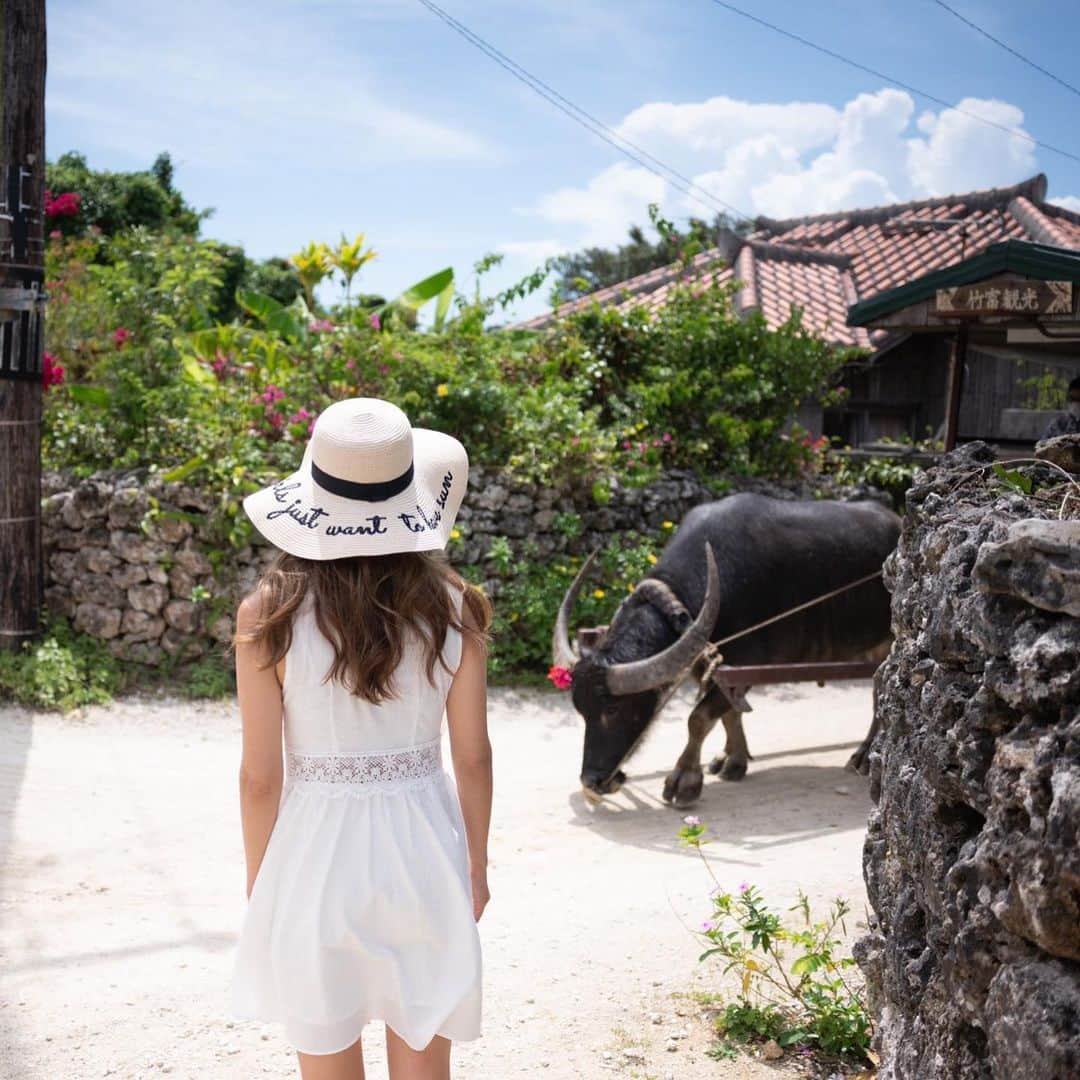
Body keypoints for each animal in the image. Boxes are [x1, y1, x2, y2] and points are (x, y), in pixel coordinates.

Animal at [552, 494, 898, 807]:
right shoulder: (712, 664)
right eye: (580, 709)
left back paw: (864, 756)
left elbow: (699, 718)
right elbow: (730, 713)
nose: (593, 781)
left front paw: (685, 780)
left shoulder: (749, 662)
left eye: (612, 709)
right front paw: (733, 760)